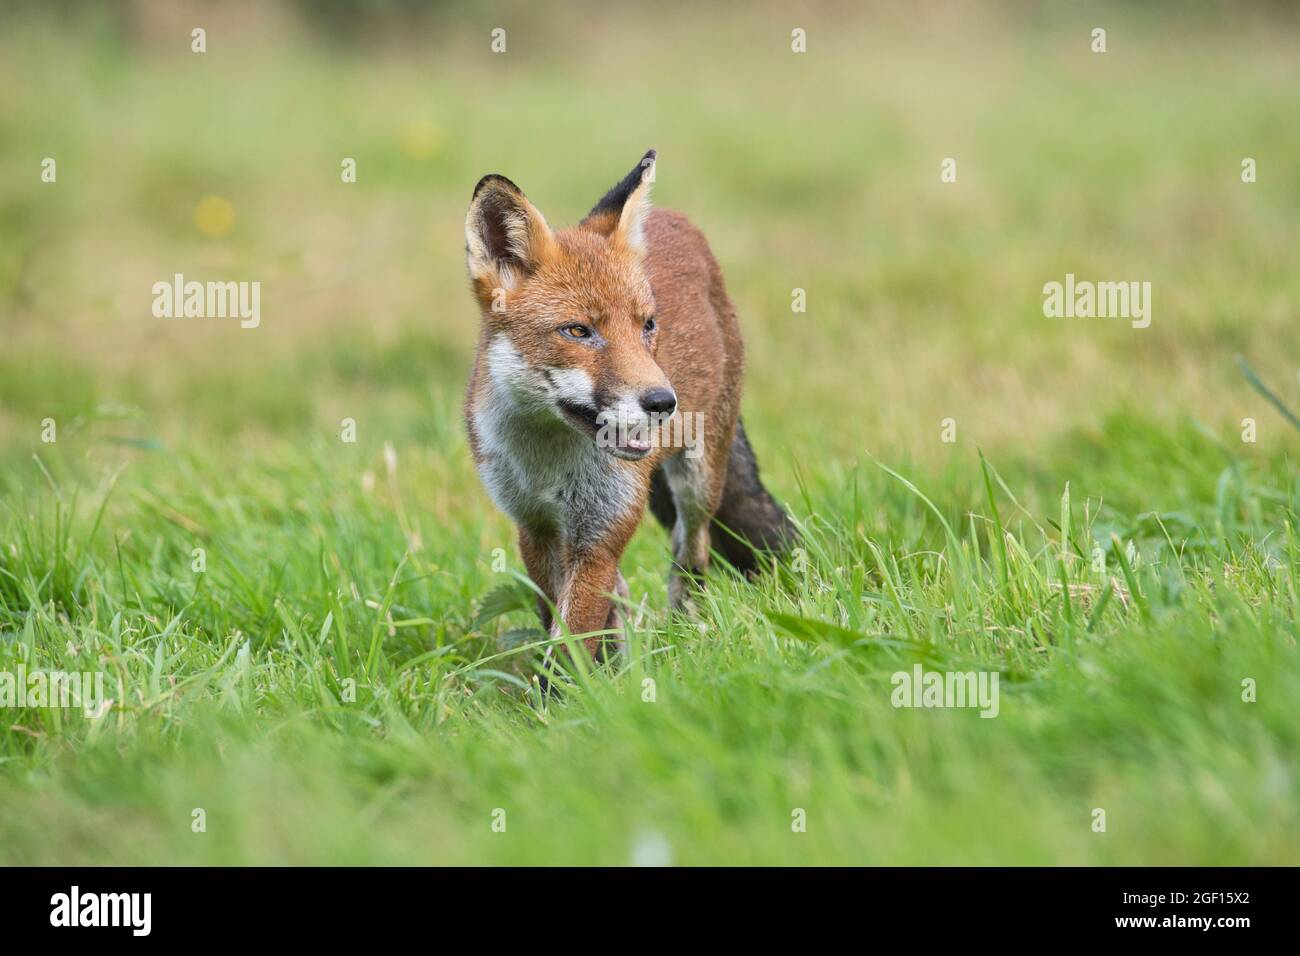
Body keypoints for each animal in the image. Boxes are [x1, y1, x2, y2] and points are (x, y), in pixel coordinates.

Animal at [467, 151, 790, 658]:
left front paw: (572, 680)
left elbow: (572, 637)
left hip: (698, 482)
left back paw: (683, 626)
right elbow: (559, 618)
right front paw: (594, 670)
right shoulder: (535, 527)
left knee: (691, 549)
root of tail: (674, 216)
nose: (663, 402)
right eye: (578, 331)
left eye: (648, 325)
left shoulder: (603, 528)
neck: (548, 460)